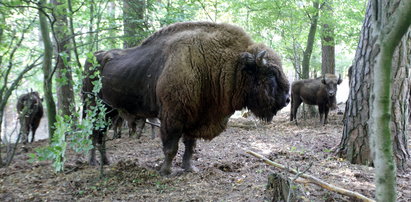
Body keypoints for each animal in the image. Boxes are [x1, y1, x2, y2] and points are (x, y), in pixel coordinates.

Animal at [83, 21, 290, 174]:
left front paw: (190, 168)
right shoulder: (172, 117)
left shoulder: (196, 117)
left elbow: (190, 145)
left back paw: (106, 161)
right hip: (93, 108)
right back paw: (93, 162)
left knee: (100, 135)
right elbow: (171, 146)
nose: (287, 99)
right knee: (94, 134)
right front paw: (166, 171)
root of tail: (95, 56)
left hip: (110, 110)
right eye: (270, 73)